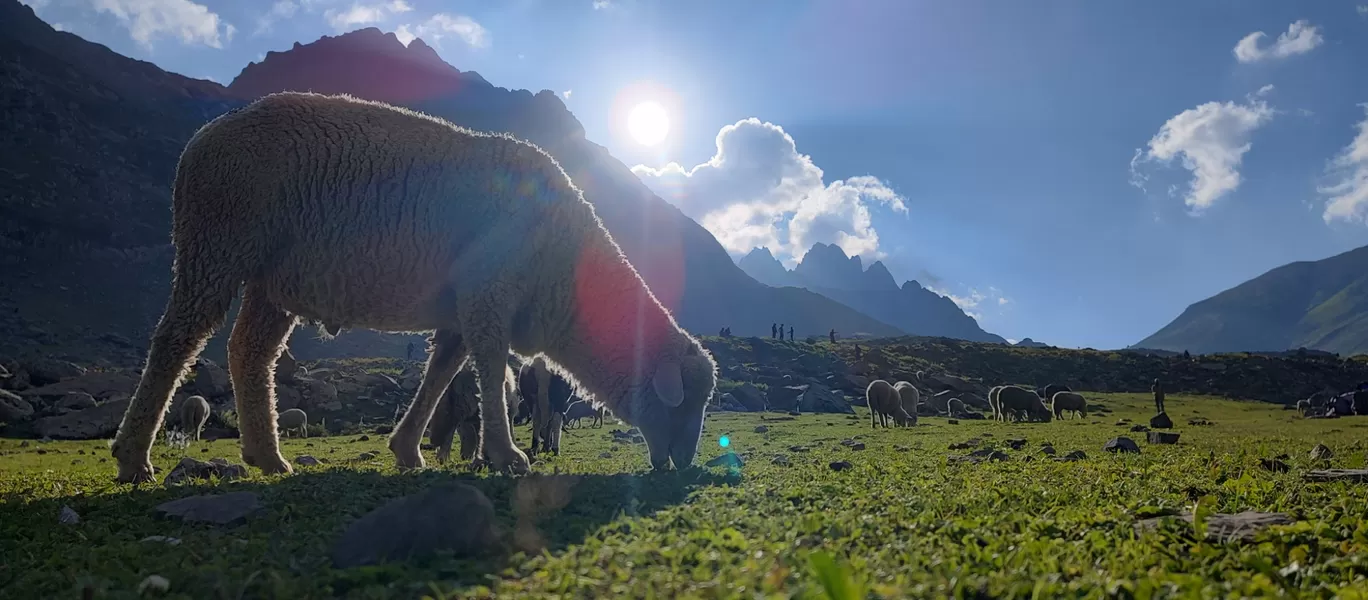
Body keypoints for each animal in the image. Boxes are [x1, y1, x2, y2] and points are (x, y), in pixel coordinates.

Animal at [109, 91, 716, 483]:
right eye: (688, 401)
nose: (684, 464)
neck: (567, 279)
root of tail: (203, 137)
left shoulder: (460, 308)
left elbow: (443, 370)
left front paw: (407, 450)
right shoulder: (487, 291)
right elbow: (488, 367)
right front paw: (506, 454)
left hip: (274, 279)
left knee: (249, 352)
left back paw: (267, 456)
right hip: (216, 240)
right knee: (176, 340)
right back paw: (134, 457)